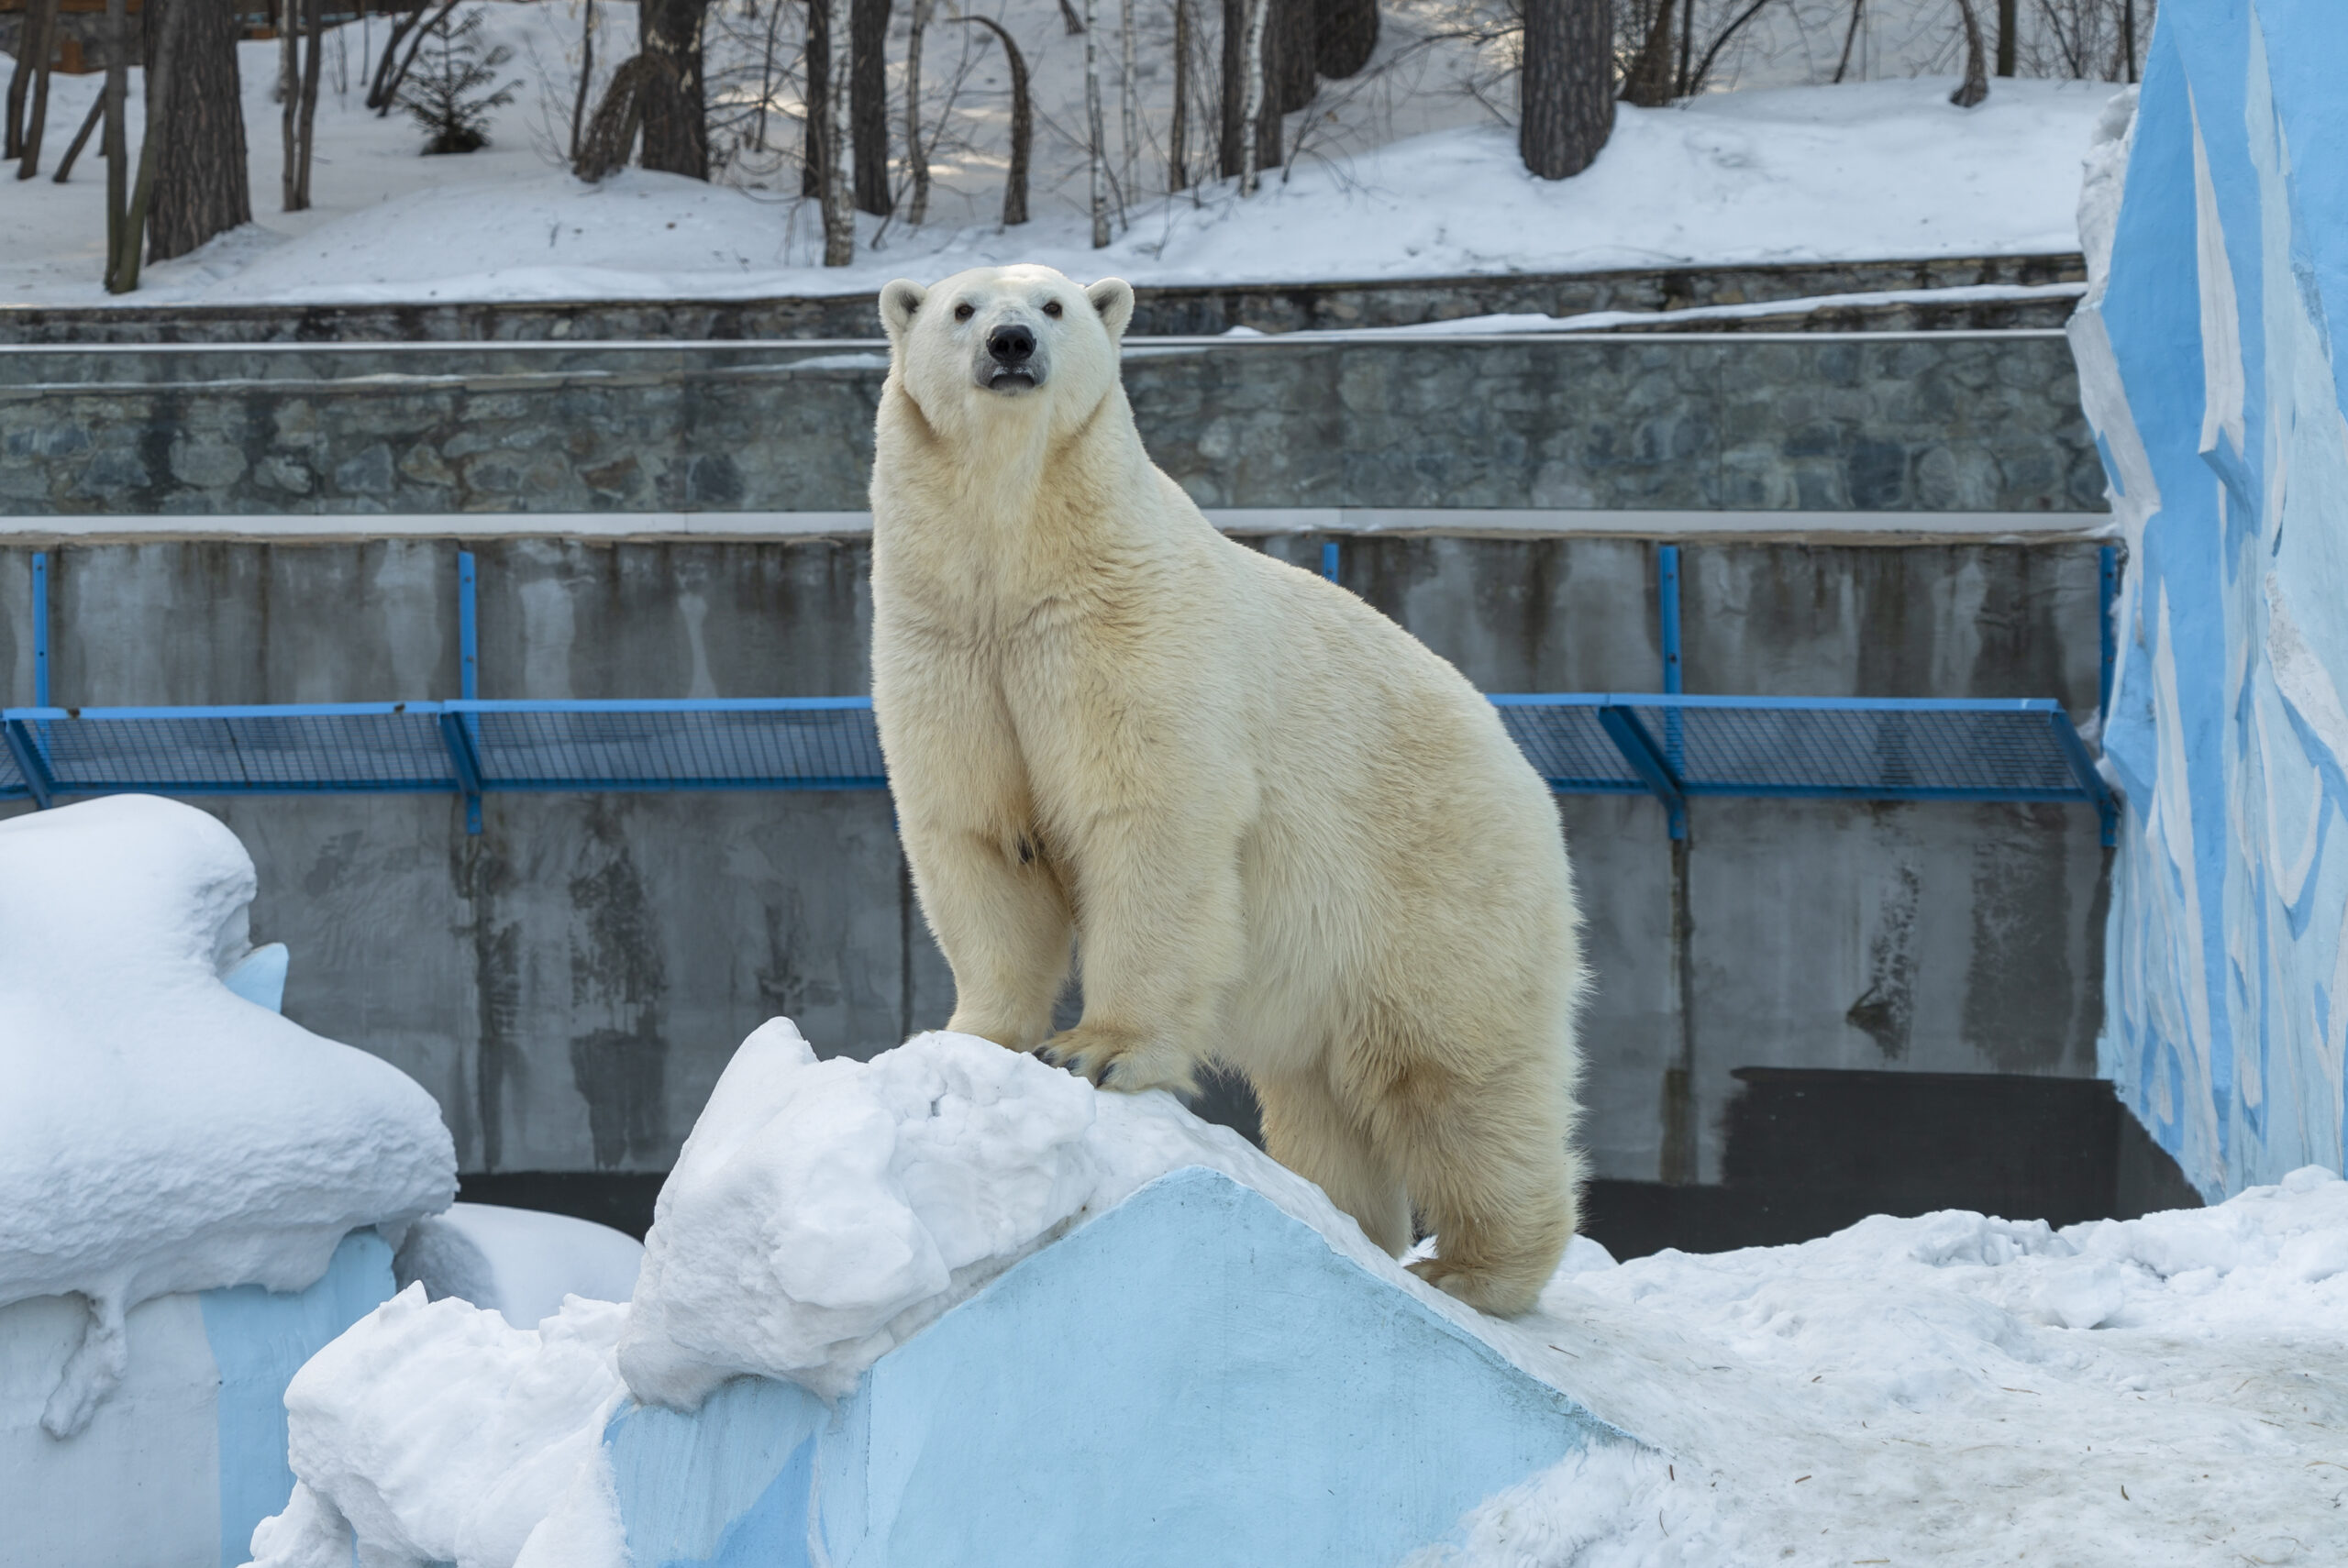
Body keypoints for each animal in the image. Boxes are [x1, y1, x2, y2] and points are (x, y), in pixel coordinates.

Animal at [873, 262, 1587, 1314]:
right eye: (962, 308)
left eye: (1053, 305)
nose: (1009, 344)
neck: (1021, 558)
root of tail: (1522, 766)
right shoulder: (949, 644)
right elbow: (979, 835)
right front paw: (975, 1036)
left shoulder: (1127, 634)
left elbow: (1148, 823)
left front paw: (1097, 1049)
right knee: (1323, 1096)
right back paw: (1347, 1220)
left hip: (1440, 881)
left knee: (1450, 1074)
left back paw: (1472, 1268)